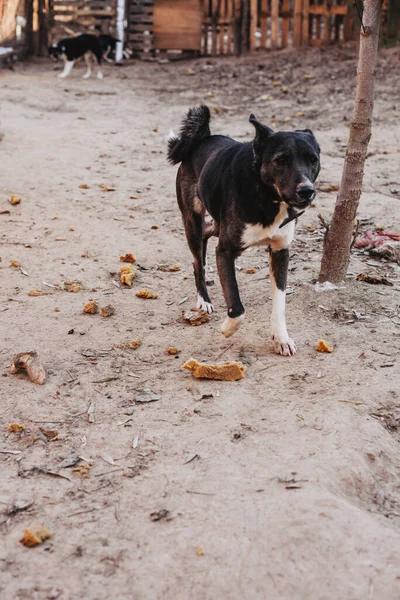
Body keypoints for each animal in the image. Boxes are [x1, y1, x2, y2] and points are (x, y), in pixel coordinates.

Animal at [167, 106, 320, 356]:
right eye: (281, 160)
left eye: (313, 160)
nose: (307, 191)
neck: (267, 196)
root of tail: (203, 138)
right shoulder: (225, 251)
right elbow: (237, 306)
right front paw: (227, 328)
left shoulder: (281, 251)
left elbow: (280, 303)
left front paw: (281, 338)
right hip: (192, 221)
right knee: (198, 261)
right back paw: (204, 300)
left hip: (217, 225)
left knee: (207, 234)